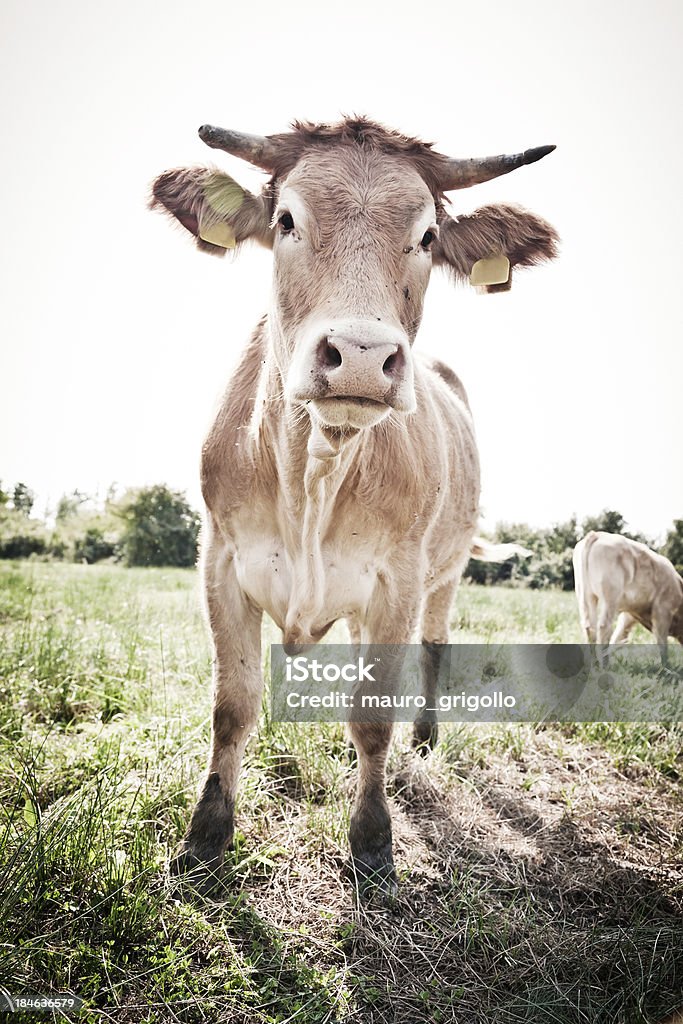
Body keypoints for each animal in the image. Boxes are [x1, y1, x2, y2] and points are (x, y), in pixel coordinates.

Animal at [152, 117, 557, 888]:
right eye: (286, 220)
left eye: (427, 237)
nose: (363, 356)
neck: (314, 472)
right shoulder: (221, 562)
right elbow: (232, 706)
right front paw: (205, 838)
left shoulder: (398, 578)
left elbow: (372, 715)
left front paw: (372, 841)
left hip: (444, 572)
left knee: (432, 648)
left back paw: (423, 740)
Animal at [573, 528, 679, 663]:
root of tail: (596, 534)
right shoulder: (662, 610)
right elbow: (661, 641)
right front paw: (666, 666)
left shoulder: (629, 615)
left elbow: (620, 635)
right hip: (610, 596)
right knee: (603, 627)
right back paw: (605, 665)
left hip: (585, 595)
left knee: (589, 628)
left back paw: (594, 664)